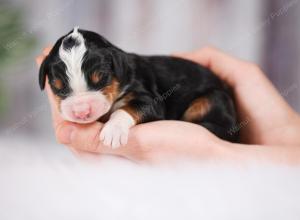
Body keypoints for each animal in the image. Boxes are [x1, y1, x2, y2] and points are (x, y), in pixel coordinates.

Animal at [38, 27, 238, 148]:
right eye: (58, 87)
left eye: (101, 79)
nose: (81, 113)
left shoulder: (152, 100)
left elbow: (128, 109)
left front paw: (113, 131)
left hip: (211, 99)